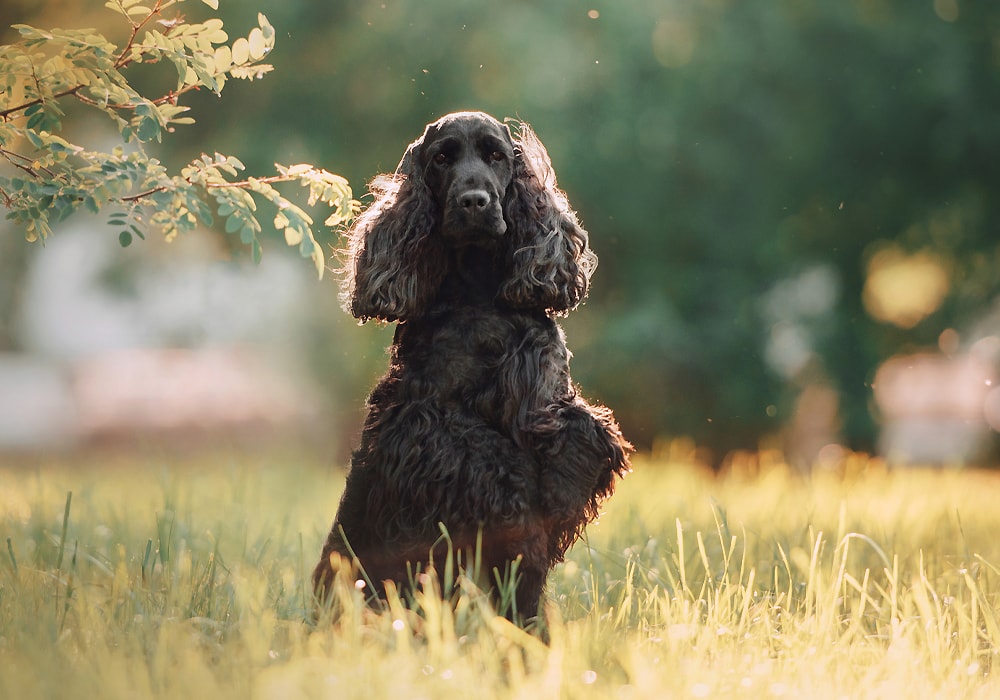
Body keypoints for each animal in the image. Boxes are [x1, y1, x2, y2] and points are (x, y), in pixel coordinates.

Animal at [312, 110, 628, 624]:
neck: (478, 293)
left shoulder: (546, 394)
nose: (474, 201)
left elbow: (583, 433)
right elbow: (493, 458)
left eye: (496, 155)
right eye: (442, 158)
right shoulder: (427, 423)